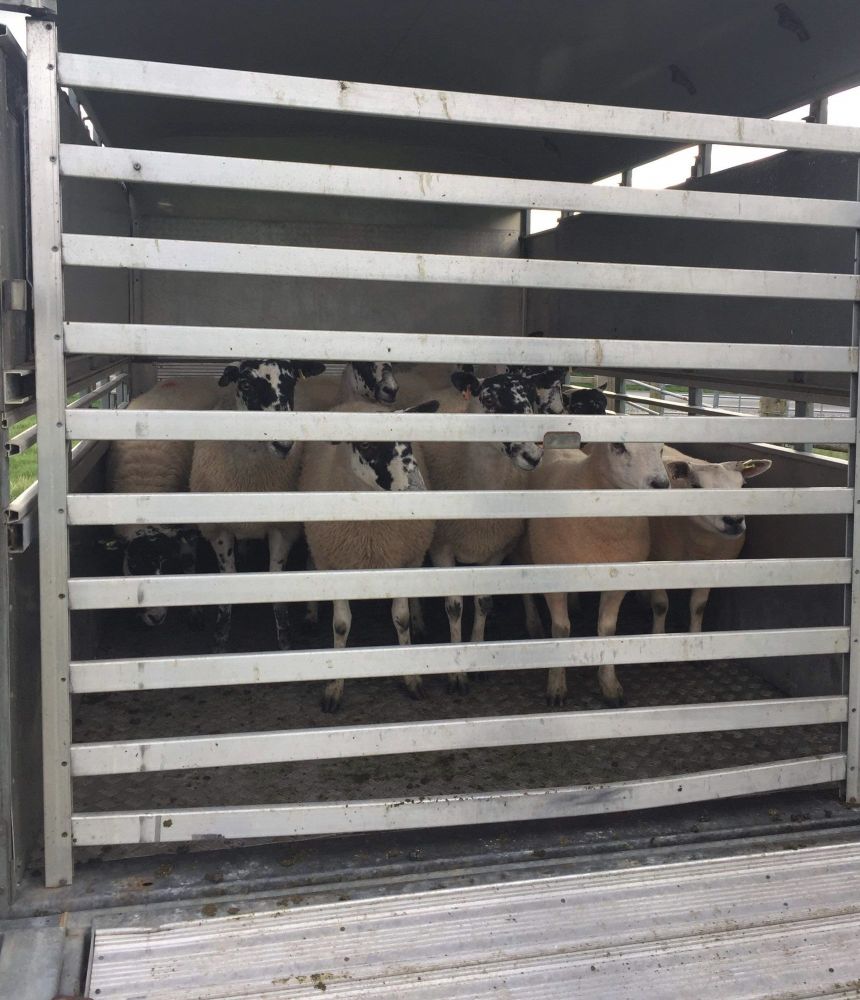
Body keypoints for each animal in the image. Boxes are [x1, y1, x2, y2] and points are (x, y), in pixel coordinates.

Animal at [106, 376, 230, 624]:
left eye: (167, 563)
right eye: (133, 563)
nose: (156, 617)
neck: (145, 489)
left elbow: (188, 561)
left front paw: (194, 612)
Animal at [189, 356, 326, 652]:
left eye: (292, 382)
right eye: (246, 384)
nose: (284, 445)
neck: (250, 481)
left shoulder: (283, 529)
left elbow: (275, 580)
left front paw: (285, 638)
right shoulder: (219, 529)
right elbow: (228, 580)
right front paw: (220, 639)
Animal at [298, 398, 440, 712]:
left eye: (408, 442)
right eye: (365, 444)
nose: (416, 489)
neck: (371, 533)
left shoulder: (398, 559)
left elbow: (401, 619)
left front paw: (412, 679)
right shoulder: (336, 563)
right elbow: (340, 625)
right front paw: (334, 689)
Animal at [524, 440, 672, 712]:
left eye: (661, 449)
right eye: (618, 446)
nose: (660, 484)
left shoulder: (617, 582)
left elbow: (607, 629)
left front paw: (610, 685)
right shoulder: (553, 579)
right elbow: (560, 629)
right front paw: (556, 686)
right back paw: (534, 624)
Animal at [652, 446, 772, 632]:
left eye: (743, 485)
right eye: (695, 486)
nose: (734, 520)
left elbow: (699, 606)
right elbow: (660, 605)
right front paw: (658, 634)